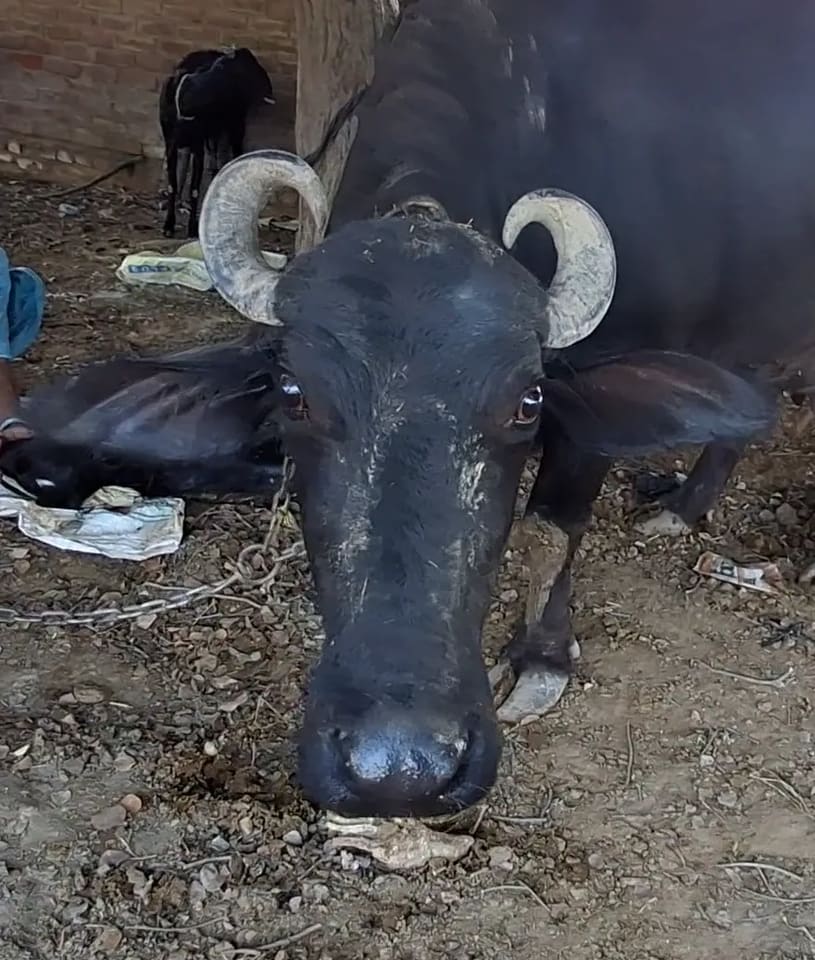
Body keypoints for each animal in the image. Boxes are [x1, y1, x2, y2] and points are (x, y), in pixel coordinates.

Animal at [5, 0, 814, 818]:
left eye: (528, 403)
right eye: (294, 397)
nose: (400, 768)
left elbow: (553, 527)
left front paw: (540, 659)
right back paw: (682, 503)